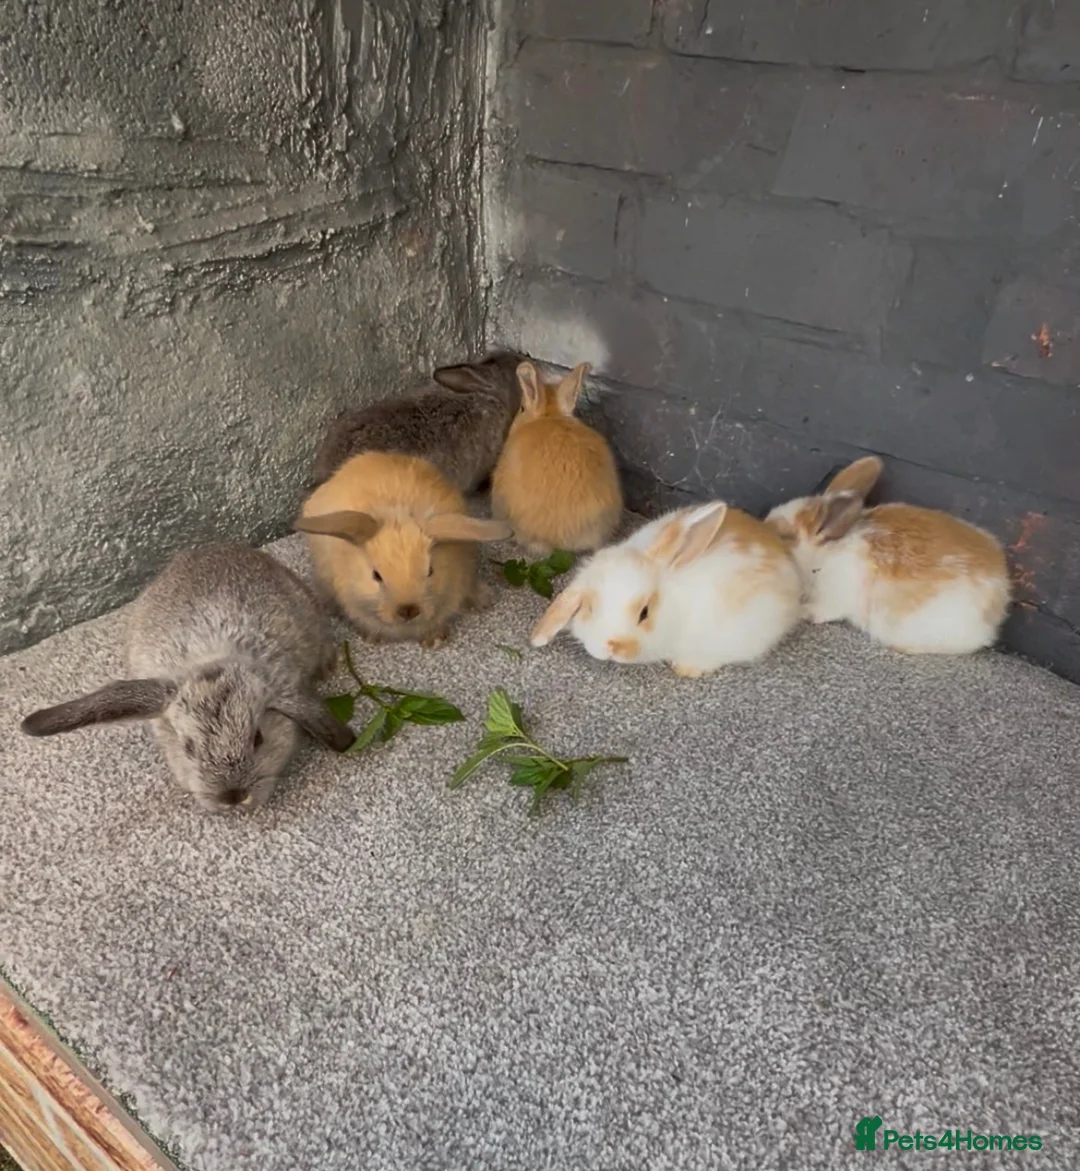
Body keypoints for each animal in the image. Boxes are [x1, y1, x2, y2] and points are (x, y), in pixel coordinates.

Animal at [764, 455, 1011, 654]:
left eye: (784, 535)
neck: (823, 556)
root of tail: (997, 604)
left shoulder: (835, 596)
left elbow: (825, 610)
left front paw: (804, 612)